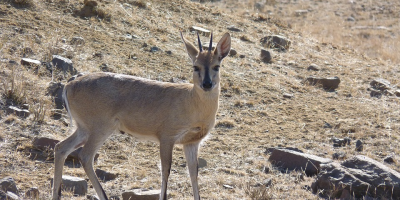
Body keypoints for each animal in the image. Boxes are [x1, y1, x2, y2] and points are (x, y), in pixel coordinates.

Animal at [51, 32, 231, 199]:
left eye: (217, 66)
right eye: (196, 66)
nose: (207, 84)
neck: (192, 103)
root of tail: (70, 84)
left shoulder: (192, 142)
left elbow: (193, 173)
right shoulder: (167, 138)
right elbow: (165, 170)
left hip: (83, 129)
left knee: (61, 147)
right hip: (99, 129)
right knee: (85, 156)